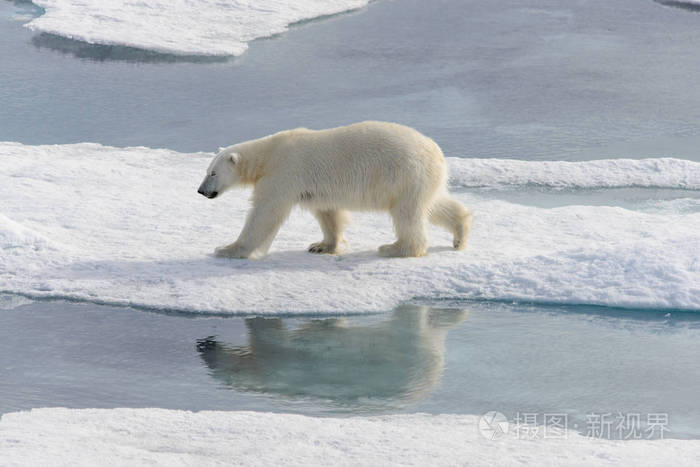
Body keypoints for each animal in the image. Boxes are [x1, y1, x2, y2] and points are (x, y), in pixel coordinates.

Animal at [197, 120, 470, 260]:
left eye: (213, 173)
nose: (201, 191)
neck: (269, 155)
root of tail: (437, 152)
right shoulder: (314, 187)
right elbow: (328, 213)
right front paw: (322, 246)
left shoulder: (283, 174)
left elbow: (265, 213)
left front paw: (228, 249)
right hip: (422, 180)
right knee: (434, 205)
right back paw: (460, 234)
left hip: (404, 174)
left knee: (407, 213)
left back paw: (395, 248)